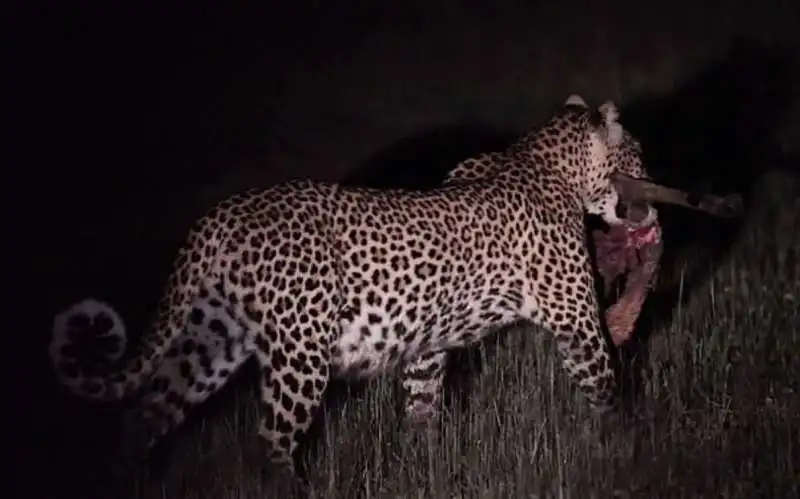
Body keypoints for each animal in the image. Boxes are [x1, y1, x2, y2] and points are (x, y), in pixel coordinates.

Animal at [53, 94, 660, 480]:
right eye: (638, 156)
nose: (654, 198)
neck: (545, 162)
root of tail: (219, 216)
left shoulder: (425, 348)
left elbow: (422, 410)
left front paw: (427, 468)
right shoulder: (578, 322)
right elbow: (605, 390)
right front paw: (620, 450)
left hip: (212, 340)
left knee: (144, 416)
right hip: (299, 354)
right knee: (270, 442)